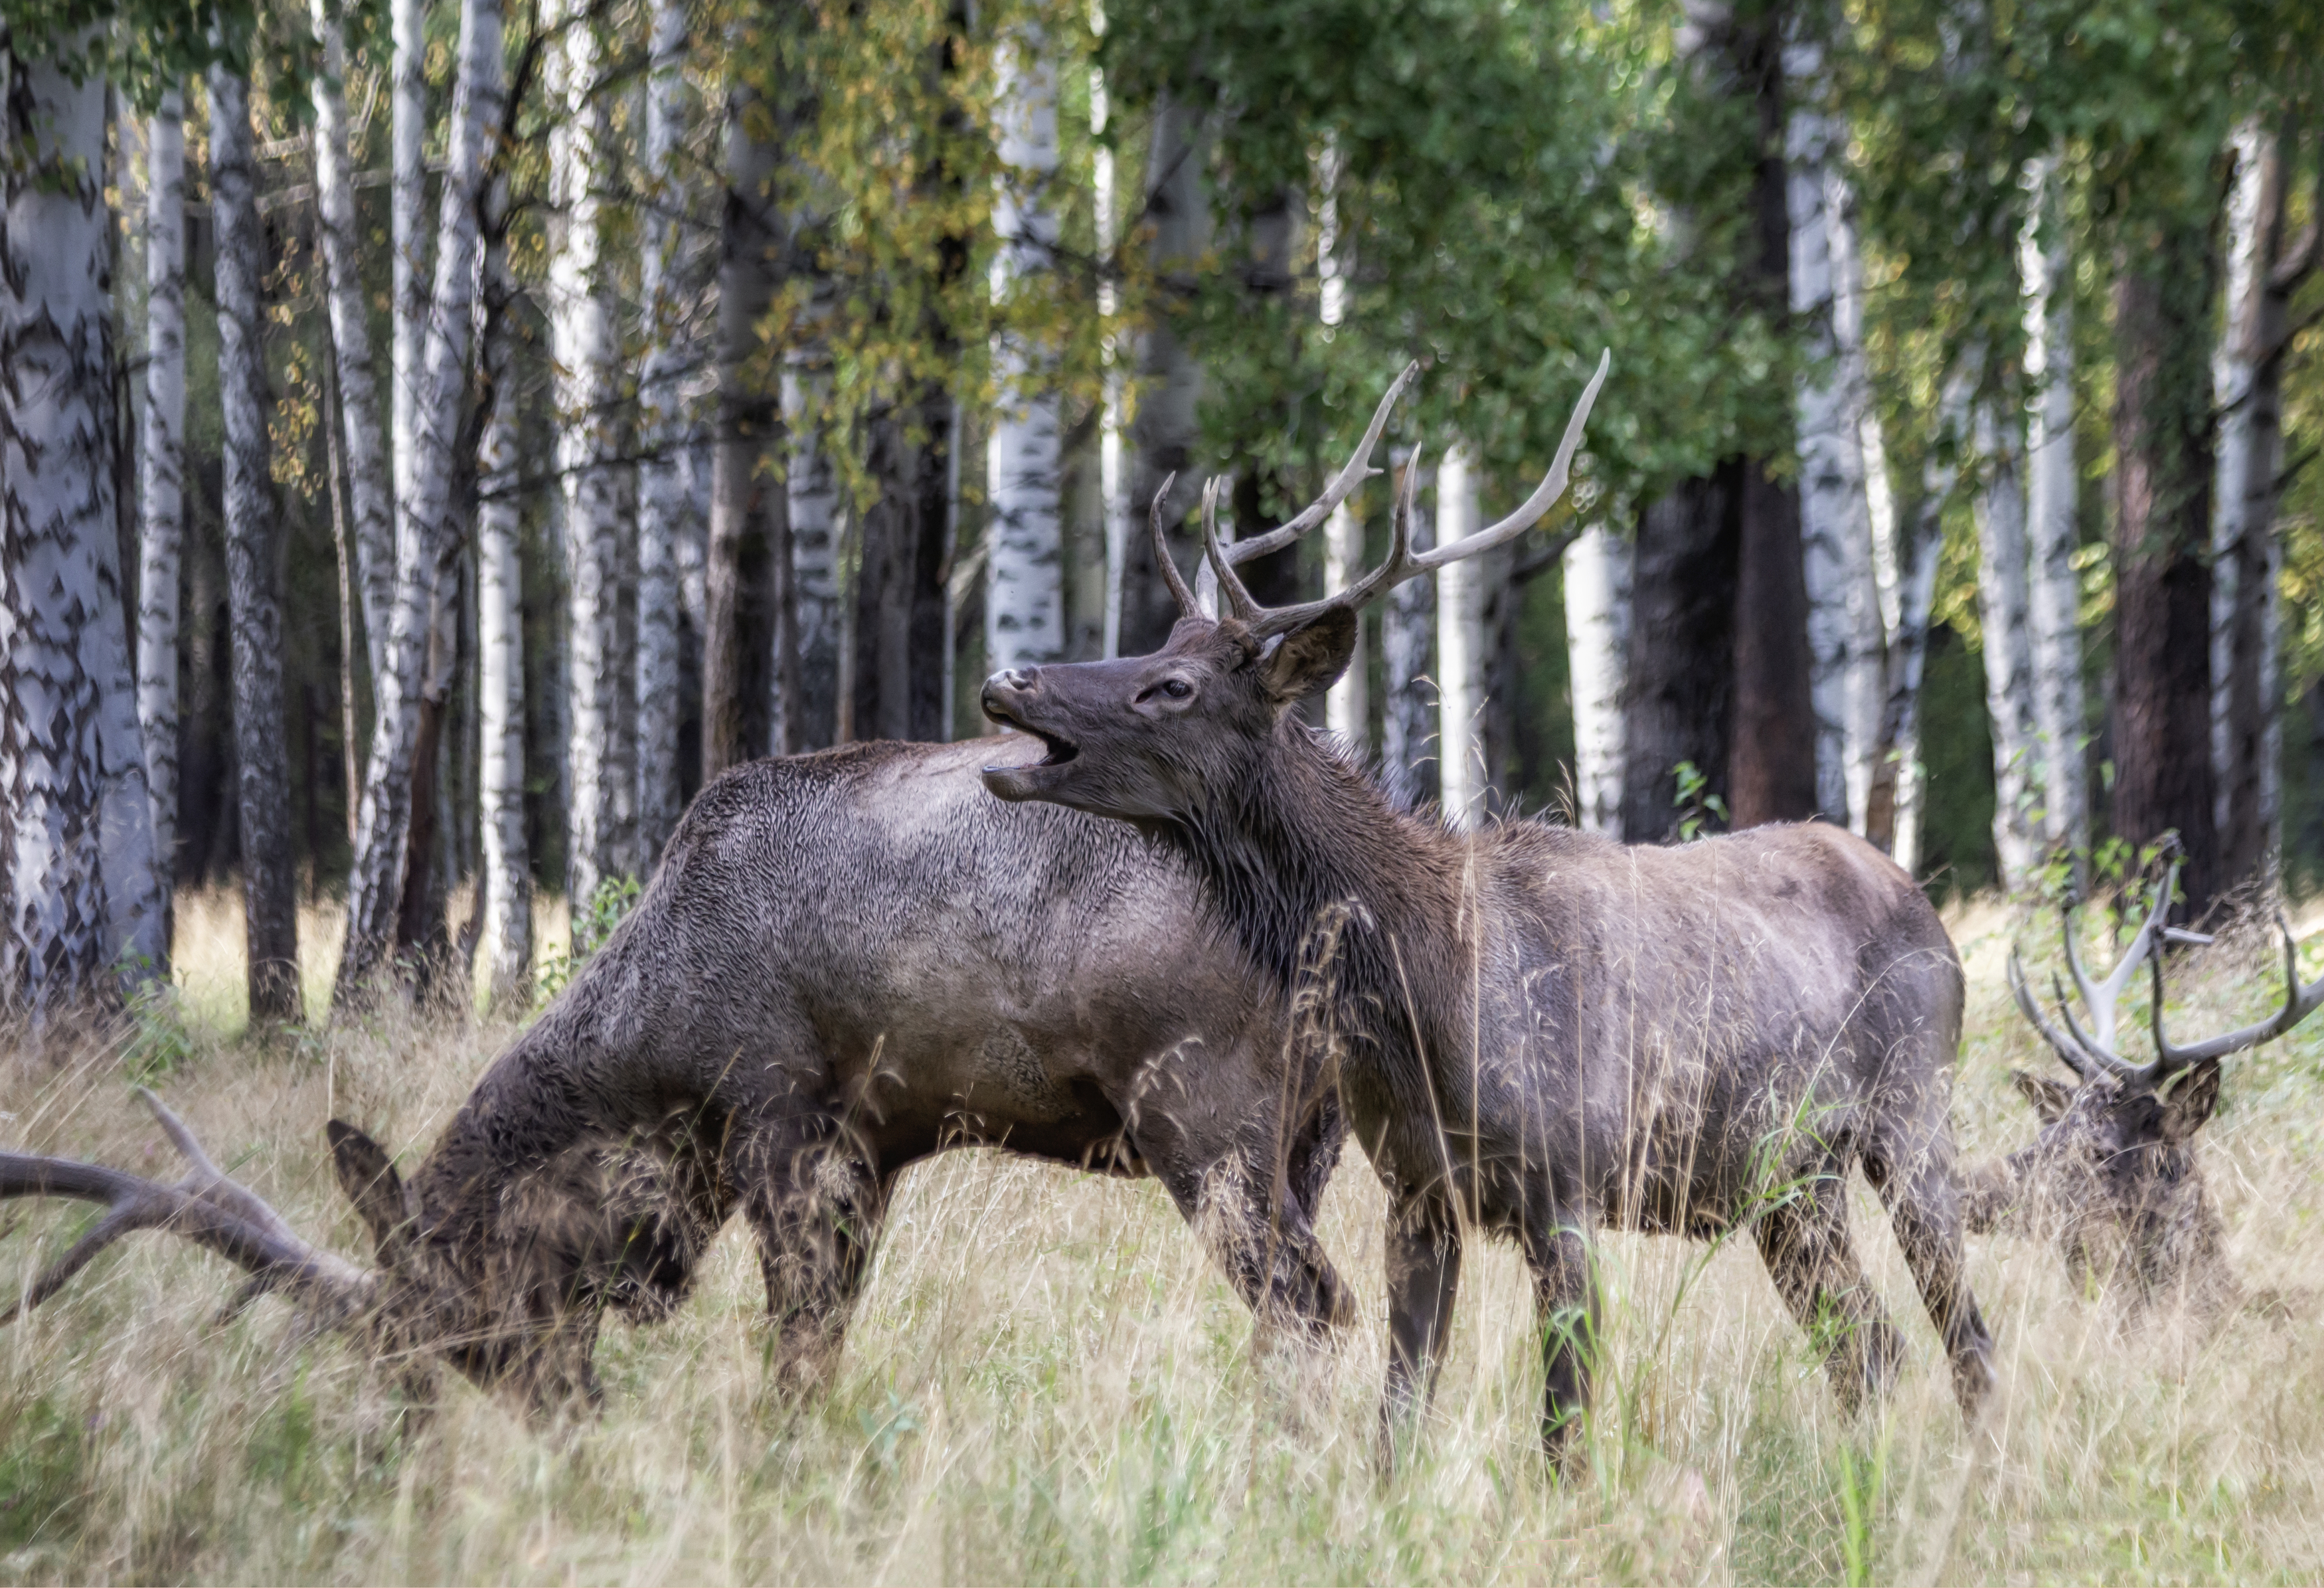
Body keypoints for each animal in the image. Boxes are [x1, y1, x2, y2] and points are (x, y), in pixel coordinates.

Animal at [0, 744, 1348, 1413]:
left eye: (454, 1324)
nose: (561, 1418)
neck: (651, 1051)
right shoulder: (877, 1143)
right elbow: (820, 1336)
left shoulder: (782, 1114)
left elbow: (798, 1346)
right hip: (1311, 1139)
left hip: (1209, 1119)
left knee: (1311, 1307)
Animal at [976, 360, 1999, 1469]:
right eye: (1159, 643)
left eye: (1173, 683)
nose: (1010, 677)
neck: (1430, 993)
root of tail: (1929, 908)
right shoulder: (1417, 1191)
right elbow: (1398, 1410)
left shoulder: (1569, 1180)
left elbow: (1562, 1426)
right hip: (1789, 1182)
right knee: (1869, 1346)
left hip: (1916, 1109)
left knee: (1963, 1334)